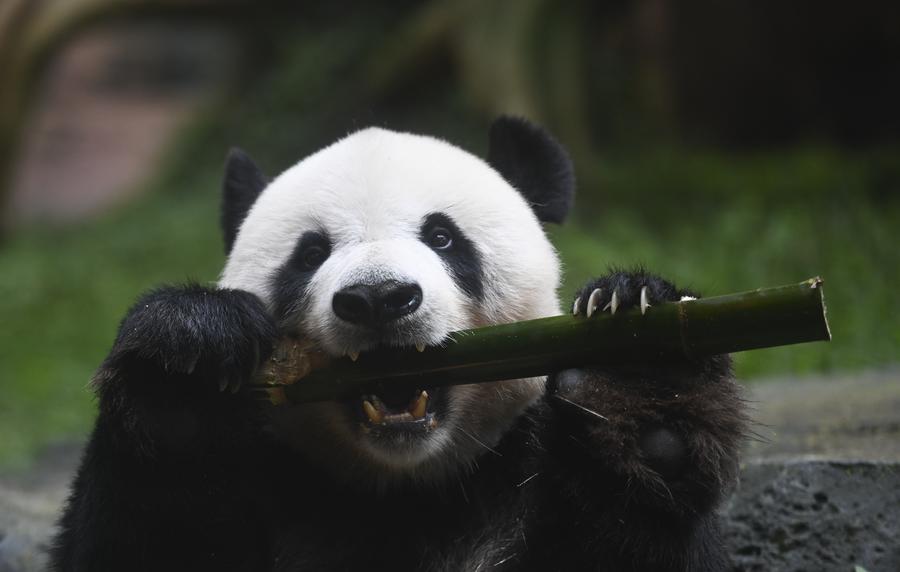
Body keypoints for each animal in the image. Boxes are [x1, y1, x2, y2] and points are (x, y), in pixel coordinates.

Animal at [51, 117, 746, 571]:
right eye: (309, 254)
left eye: (442, 237)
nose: (379, 298)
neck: (407, 490)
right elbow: (142, 539)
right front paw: (188, 369)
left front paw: (638, 382)